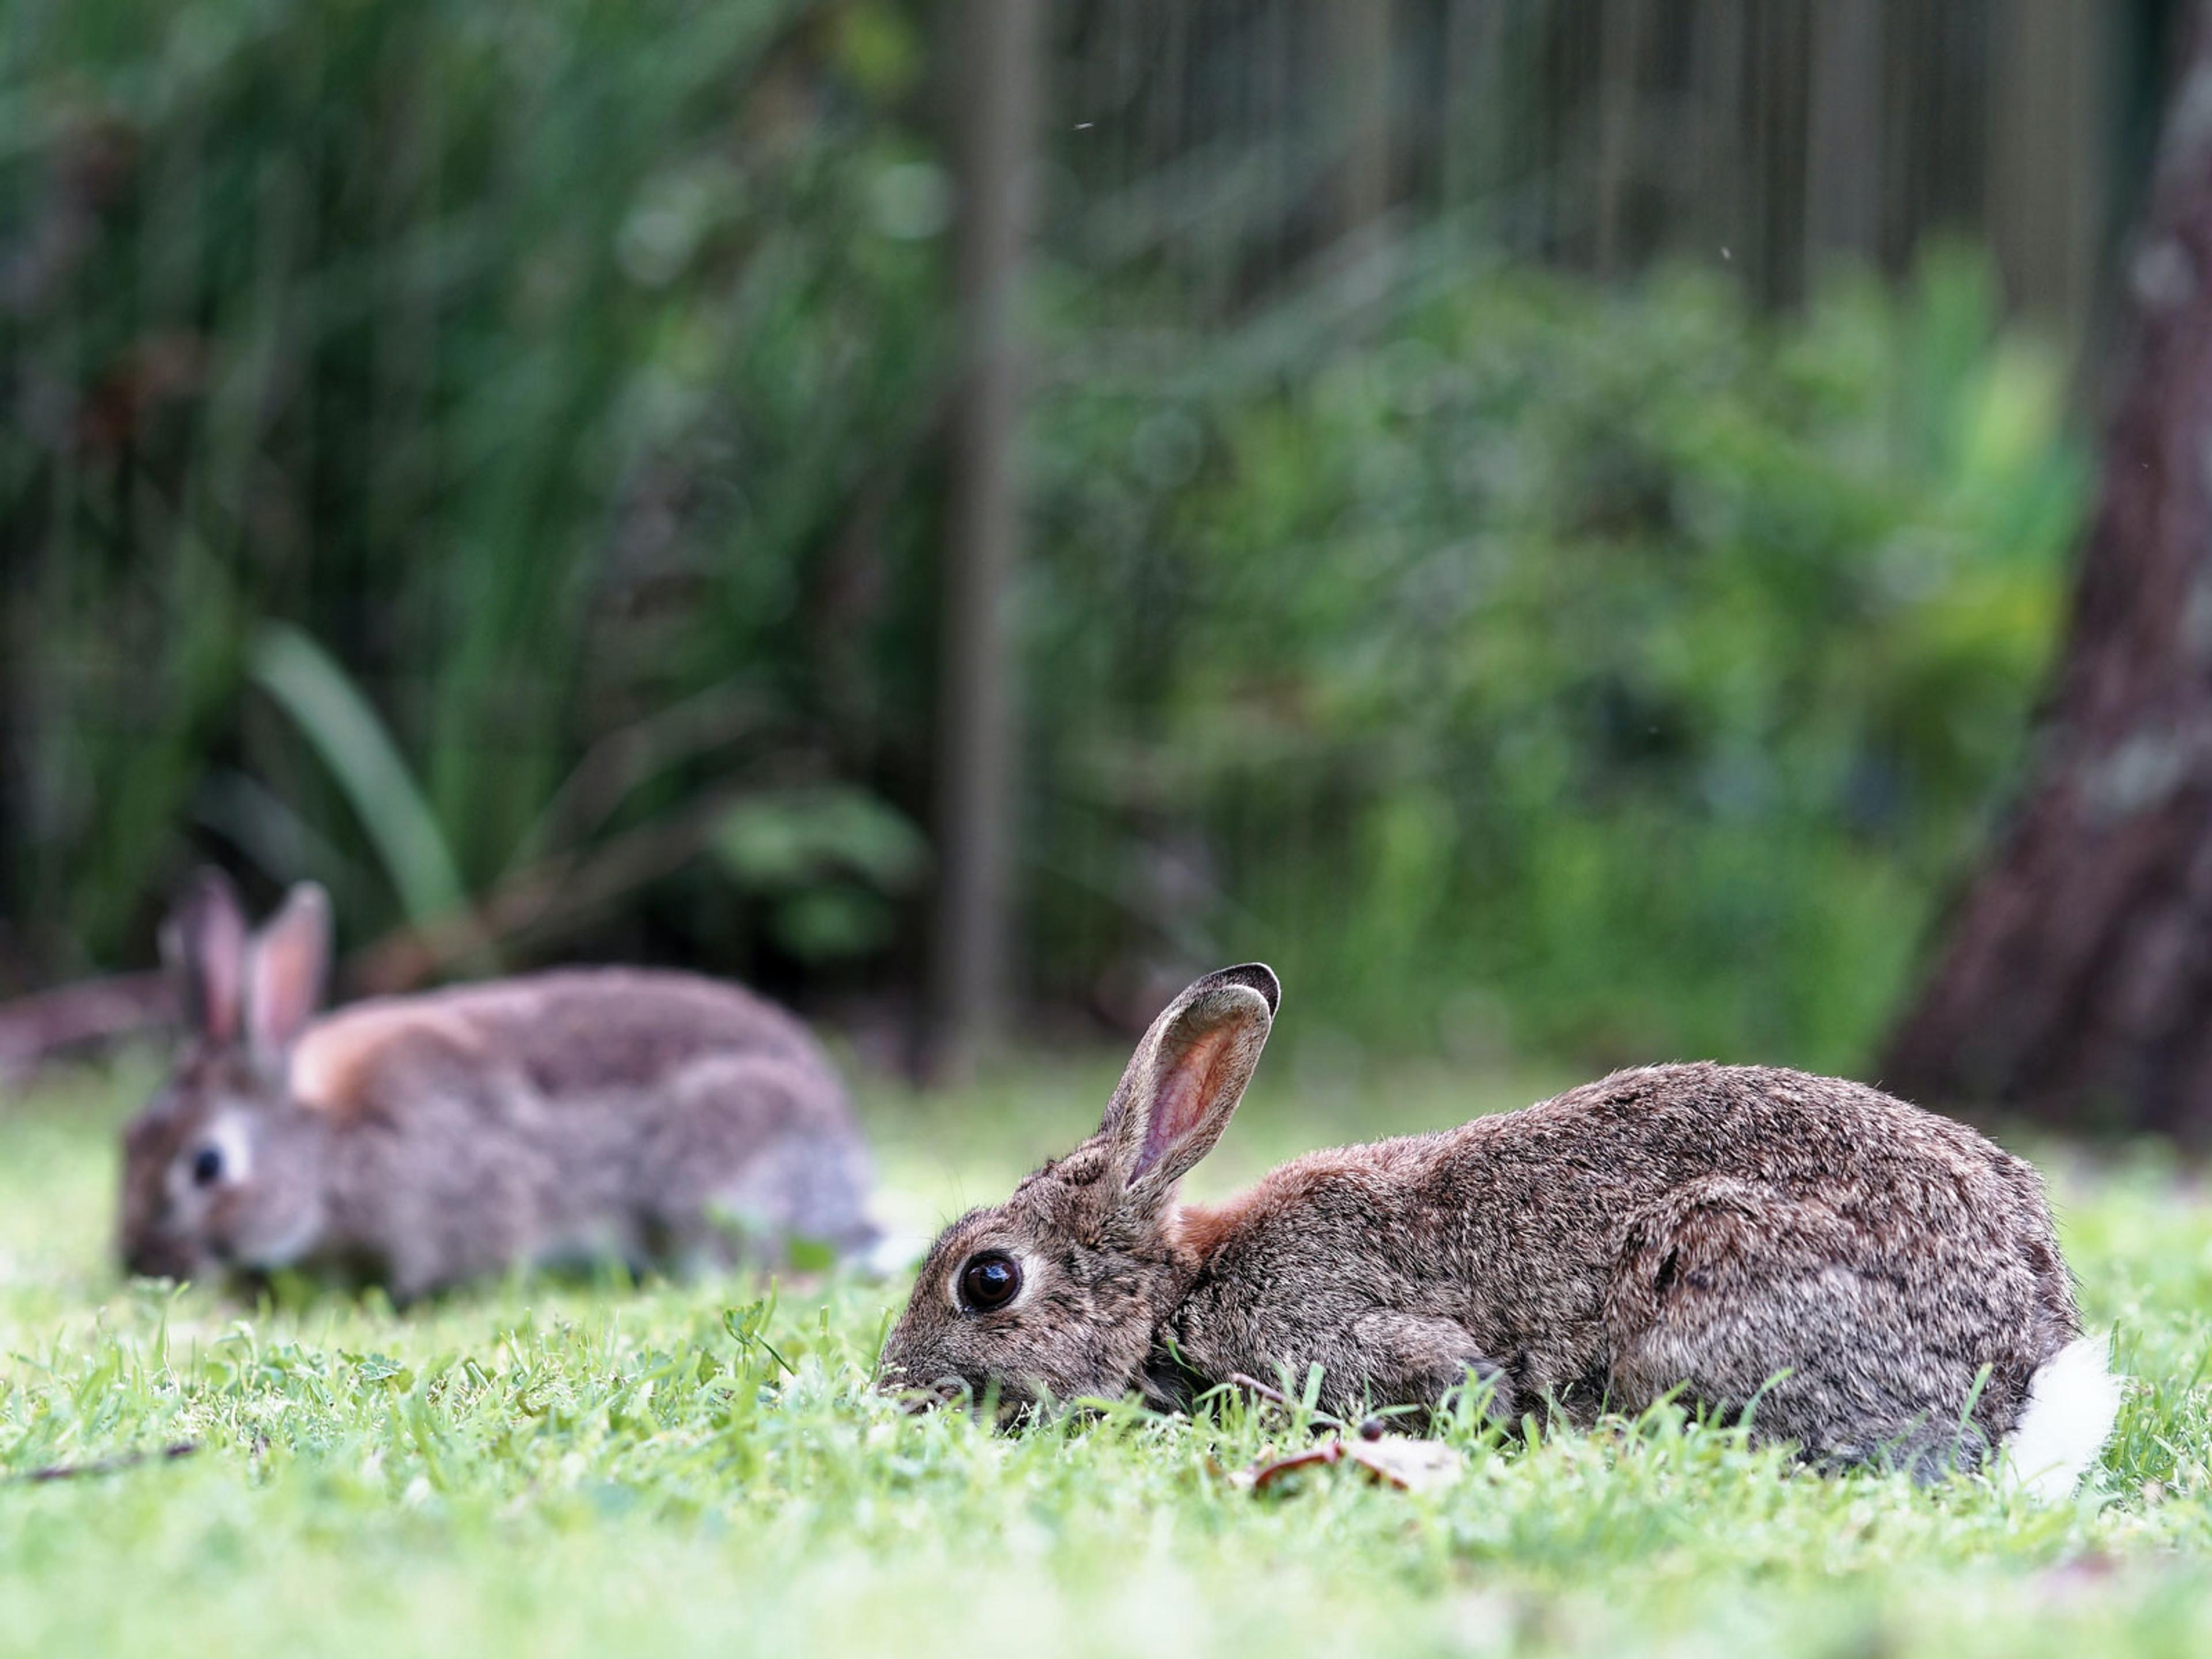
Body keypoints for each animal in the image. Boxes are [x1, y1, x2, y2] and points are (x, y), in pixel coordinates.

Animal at [879, 964, 2120, 1493]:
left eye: (987, 1281)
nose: (895, 1387)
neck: (1180, 1291)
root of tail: (2031, 1377)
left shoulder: (1343, 1337)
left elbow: (1456, 1378)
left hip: (1712, 1283)